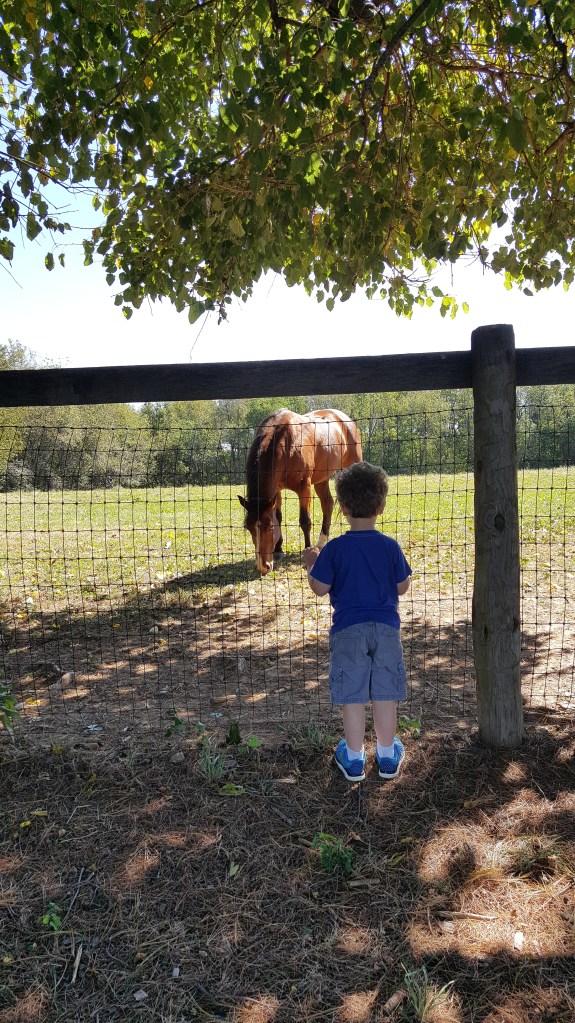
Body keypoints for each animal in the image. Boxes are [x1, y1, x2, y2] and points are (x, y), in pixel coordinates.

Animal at [238, 408, 363, 574]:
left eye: (269, 527)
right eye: (248, 528)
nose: (263, 566)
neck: (285, 442)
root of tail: (344, 418)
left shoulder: (305, 487)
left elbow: (305, 521)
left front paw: (307, 550)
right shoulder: (276, 490)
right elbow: (279, 516)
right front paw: (278, 550)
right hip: (322, 479)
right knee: (328, 504)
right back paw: (321, 543)